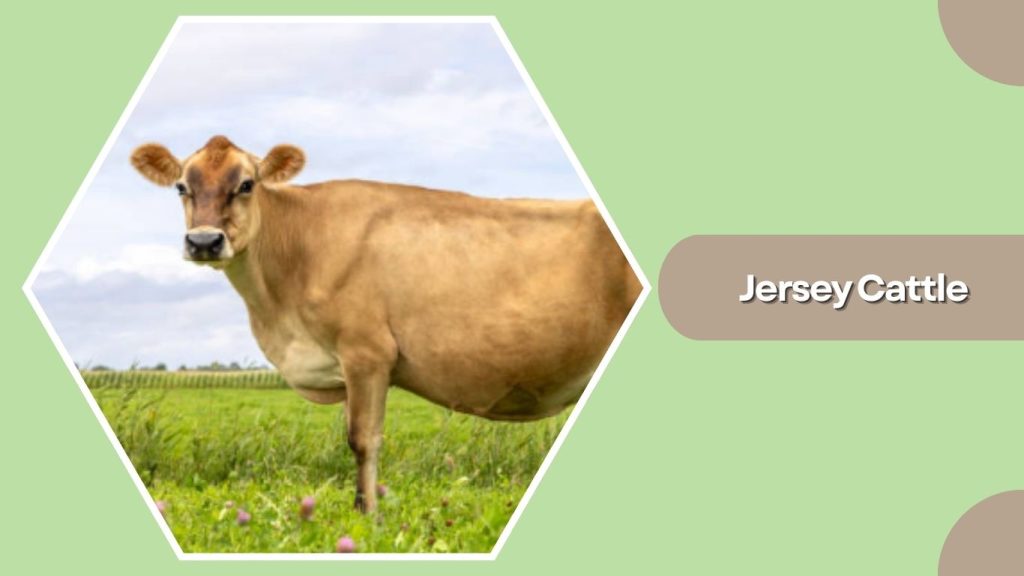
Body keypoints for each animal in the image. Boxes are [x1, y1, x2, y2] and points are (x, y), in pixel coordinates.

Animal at [130, 135, 641, 511]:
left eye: (248, 184)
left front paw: (367, 517)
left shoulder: (367, 353)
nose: (204, 241)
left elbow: (362, 440)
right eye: (181, 187)